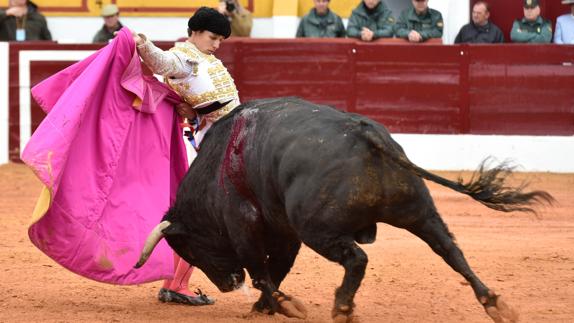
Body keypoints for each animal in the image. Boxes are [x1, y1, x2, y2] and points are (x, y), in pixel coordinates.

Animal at [135, 97, 552, 322]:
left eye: (190, 249)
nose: (226, 284)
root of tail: (369, 135)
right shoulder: (285, 233)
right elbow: (275, 270)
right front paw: (264, 307)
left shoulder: (247, 225)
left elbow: (263, 272)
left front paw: (284, 306)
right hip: (418, 211)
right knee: (450, 250)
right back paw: (495, 304)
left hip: (320, 231)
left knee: (357, 259)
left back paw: (342, 307)